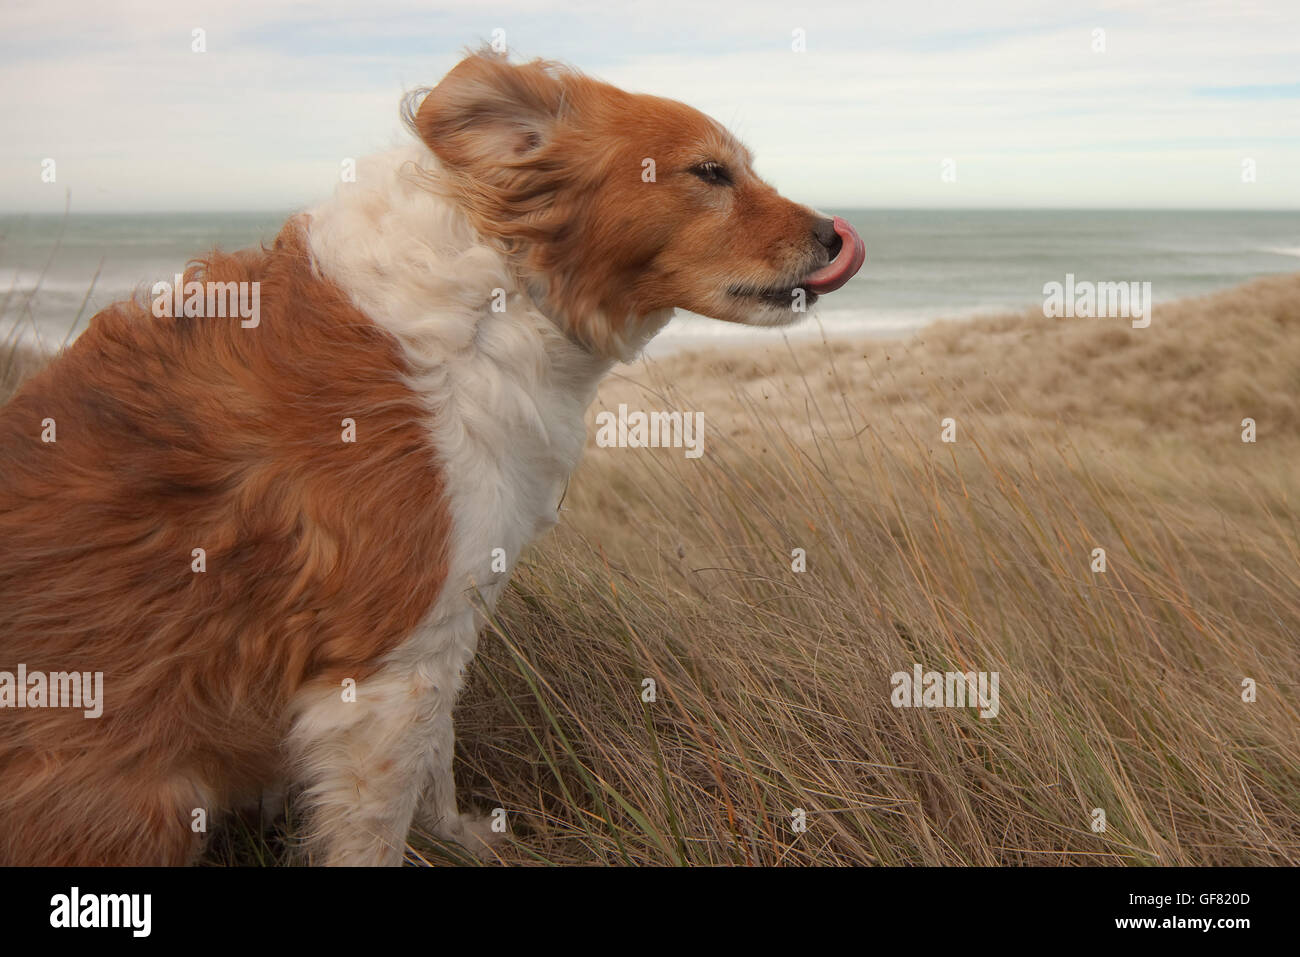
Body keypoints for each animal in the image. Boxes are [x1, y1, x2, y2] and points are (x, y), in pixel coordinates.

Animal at [0, 48, 863, 863]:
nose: (833, 234)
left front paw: (460, 840)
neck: (497, 299)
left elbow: (435, 764)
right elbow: (380, 820)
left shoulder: (447, 626)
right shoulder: (384, 667)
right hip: (154, 801)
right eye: (710, 171)